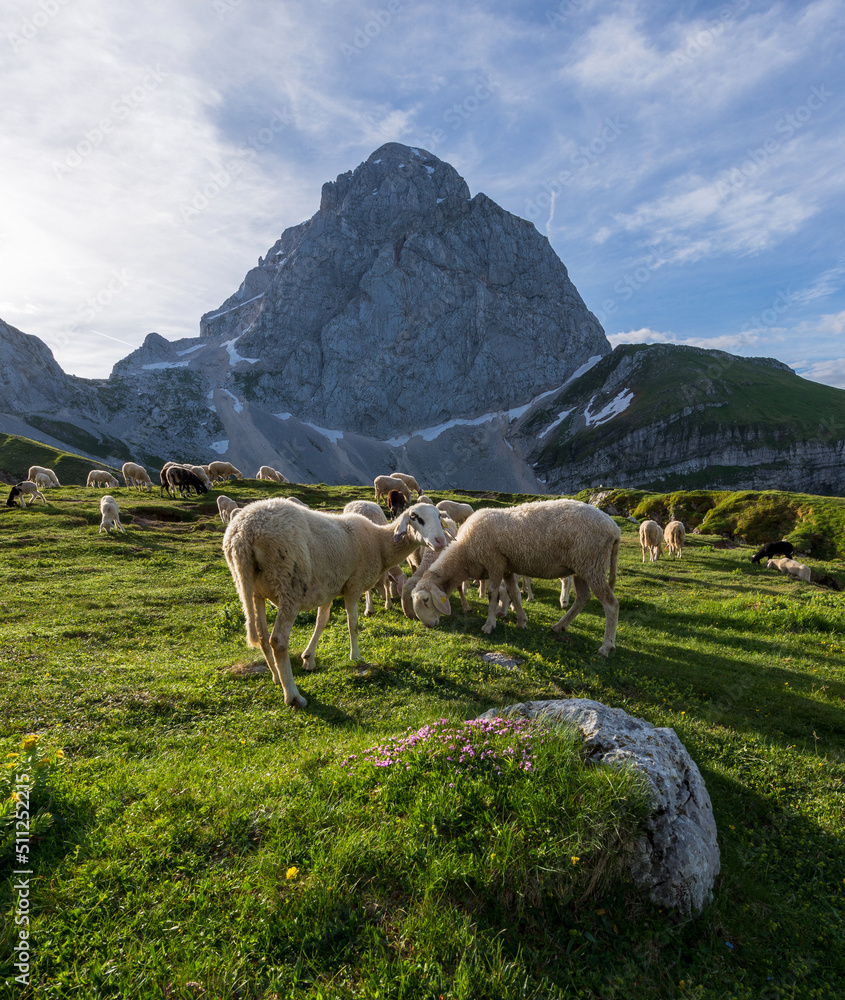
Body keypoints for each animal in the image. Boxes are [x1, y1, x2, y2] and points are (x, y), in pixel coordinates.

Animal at [221, 498, 452, 704]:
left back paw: (277, 677)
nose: (441, 541)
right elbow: (353, 624)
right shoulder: (353, 585)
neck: (379, 543)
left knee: (261, 636)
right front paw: (356, 656)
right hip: (289, 584)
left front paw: (309, 658)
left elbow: (321, 622)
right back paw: (293, 696)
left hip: (252, 590)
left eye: (439, 516)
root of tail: (243, 533)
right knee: (277, 640)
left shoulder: (328, 588)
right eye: (414, 517)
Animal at [410, 500, 620, 656]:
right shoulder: (507, 568)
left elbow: (492, 593)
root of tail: (614, 527)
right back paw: (560, 626)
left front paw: (489, 625)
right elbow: (514, 593)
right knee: (583, 597)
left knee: (611, 604)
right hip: (582, 566)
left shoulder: (494, 562)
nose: (428, 625)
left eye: (426, 600)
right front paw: (521, 621)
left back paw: (606, 646)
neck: (465, 553)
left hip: (592, 564)